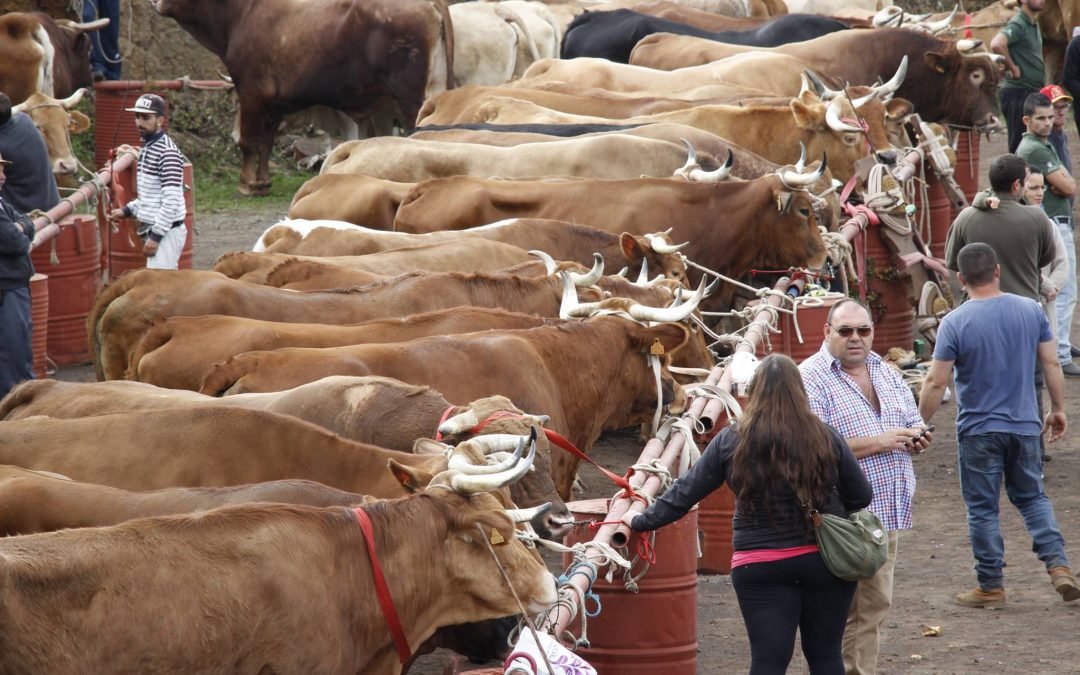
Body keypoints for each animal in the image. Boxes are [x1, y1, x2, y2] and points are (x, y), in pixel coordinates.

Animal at [152, 0, 455, 194]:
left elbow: (250, 142)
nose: (155, 1)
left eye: (235, 102)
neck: (244, 12)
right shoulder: (273, 103)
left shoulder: (251, 92)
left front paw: (245, 183)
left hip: (411, 98)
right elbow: (266, 143)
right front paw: (262, 182)